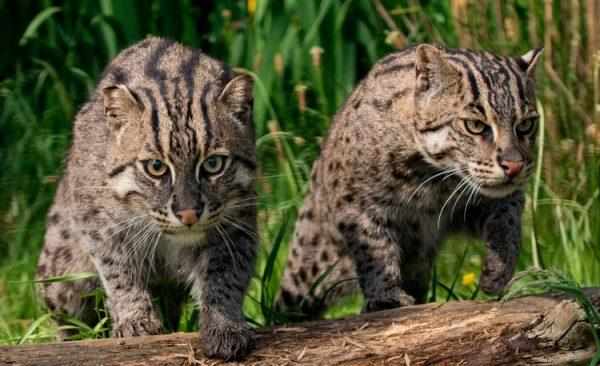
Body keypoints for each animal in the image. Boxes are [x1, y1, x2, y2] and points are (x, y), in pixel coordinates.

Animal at [35, 38, 255, 360]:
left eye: (214, 164)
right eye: (156, 167)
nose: (189, 214)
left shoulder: (236, 222)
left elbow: (225, 278)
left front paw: (224, 325)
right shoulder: (99, 225)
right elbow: (120, 272)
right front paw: (136, 320)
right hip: (63, 272)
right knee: (66, 316)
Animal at [278, 43, 540, 314]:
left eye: (526, 125)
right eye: (475, 126)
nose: (514, 166)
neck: (432, 178)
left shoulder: (497, 197)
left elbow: (508, 222)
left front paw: (499, 270)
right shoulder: (356, 205)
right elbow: (374, 247)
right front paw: (386, 297)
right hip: (315, 260)